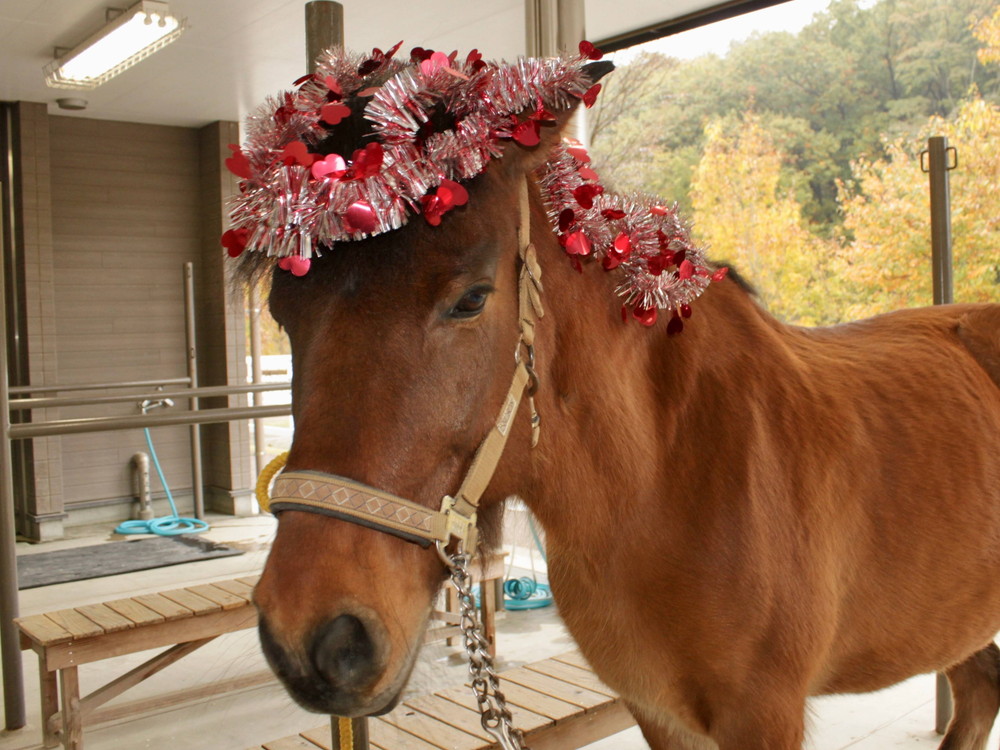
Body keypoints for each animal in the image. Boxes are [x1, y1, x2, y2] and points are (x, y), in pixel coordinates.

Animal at [242, 61, 1000, 748]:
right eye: (283, 314)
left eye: (472, 298)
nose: (314, 639)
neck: (666, 476)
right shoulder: (658, 710)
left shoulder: (764, 716)